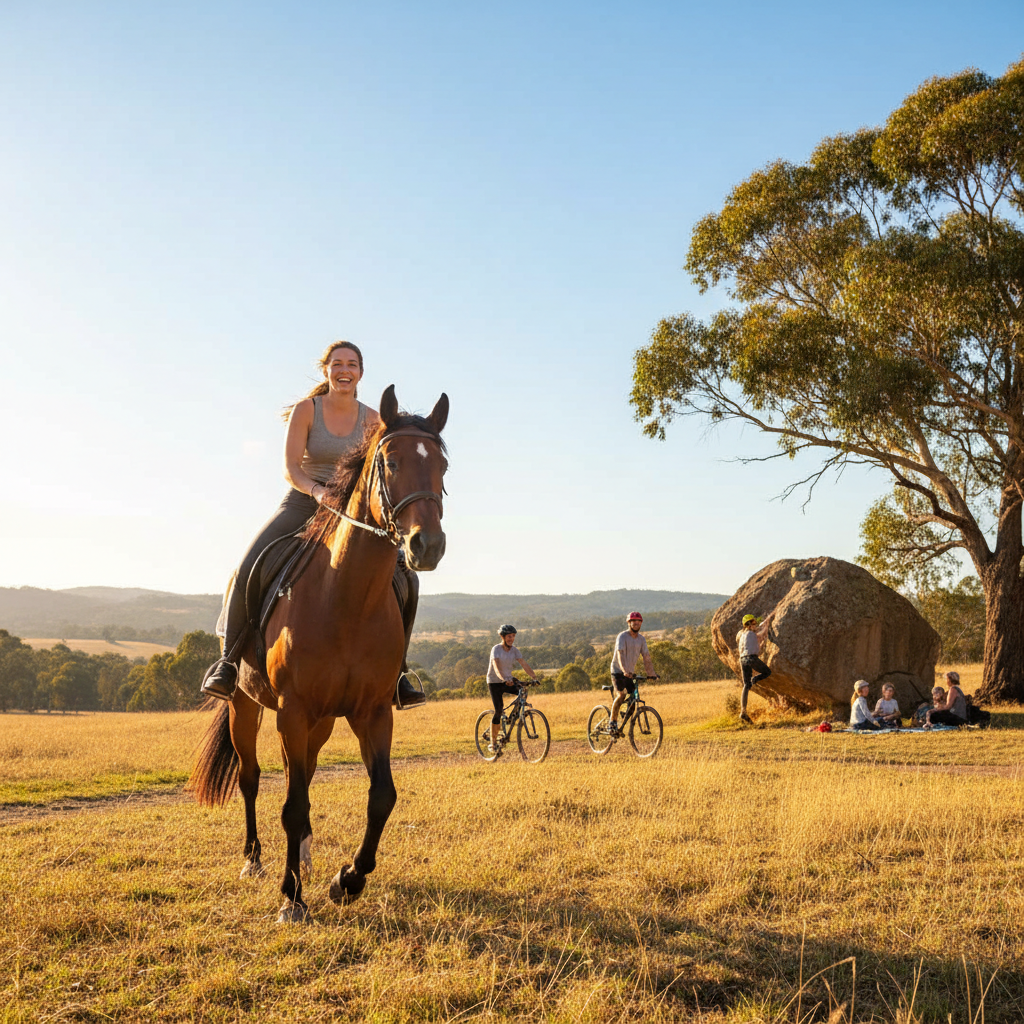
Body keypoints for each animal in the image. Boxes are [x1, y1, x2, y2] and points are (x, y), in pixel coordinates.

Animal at [188, 385, 448, 923]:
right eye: (390, 462)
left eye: (443, 466)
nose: (427, 545)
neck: (346, 597)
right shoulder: (292, 709)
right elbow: (290, 804)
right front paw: (292, 898)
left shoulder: (372, 712)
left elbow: (381, 796)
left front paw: (346, 880)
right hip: (246, 706)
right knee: (253, 778)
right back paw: (255, 860)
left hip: (322, 721)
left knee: (301, 774)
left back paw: (305, 857)